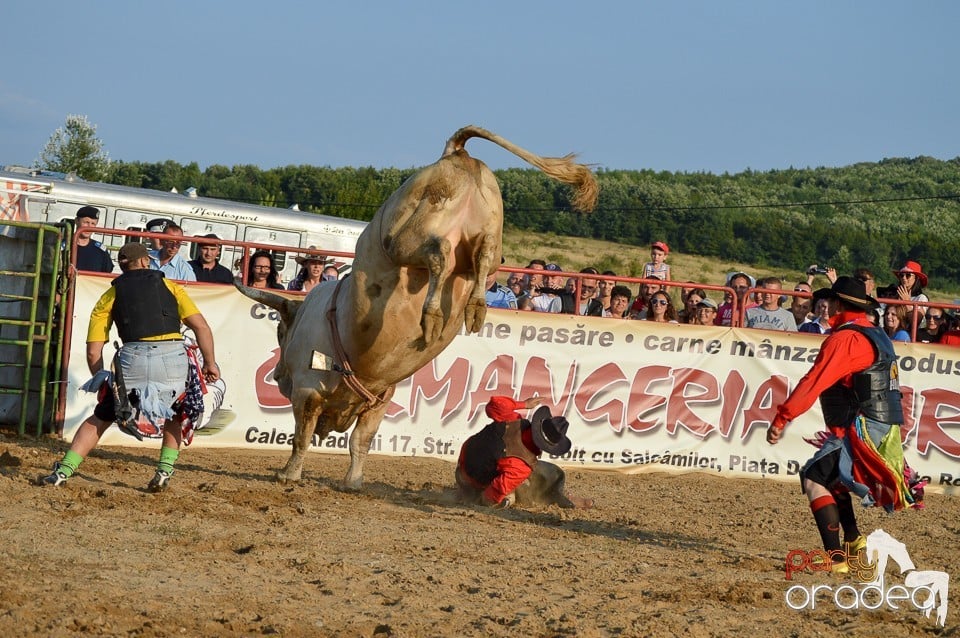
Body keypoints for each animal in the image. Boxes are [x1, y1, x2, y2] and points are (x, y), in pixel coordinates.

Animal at [236, 127, 596, 492]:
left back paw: (433, 316)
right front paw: (353, 481)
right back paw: (474, 308)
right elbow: (361, 441)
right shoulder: (379, 397)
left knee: (439, 252)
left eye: (281, 332)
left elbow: (303, 435)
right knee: (481, 255)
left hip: (405, 238)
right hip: (491, 239)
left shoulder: (308, 389)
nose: (277, 376)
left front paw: (288, 474)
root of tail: (454, 154)